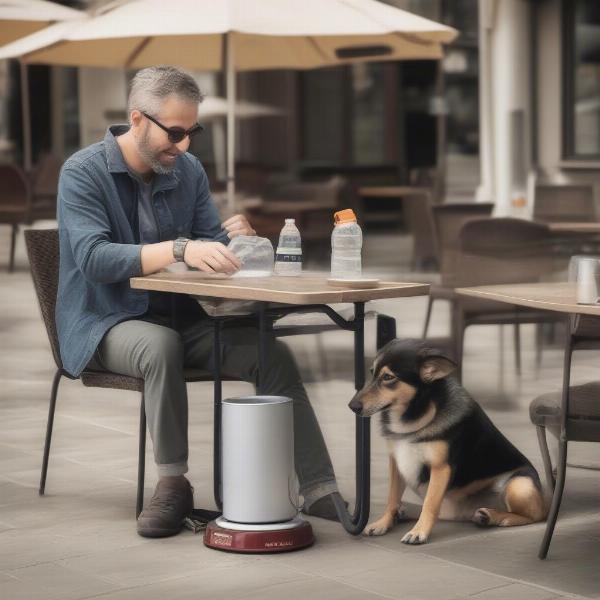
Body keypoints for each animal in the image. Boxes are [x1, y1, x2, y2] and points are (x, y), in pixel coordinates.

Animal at [346, 340, 548, 548]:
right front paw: (383, 523)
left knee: (535, 516)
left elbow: (430, 504)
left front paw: (418, 532)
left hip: (519, 485)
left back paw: (496, 517)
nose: (352, 406)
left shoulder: (440, 468)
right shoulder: (396, 464)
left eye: (388, 377)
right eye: (372, 373)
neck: (415, 416)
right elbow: (392, 499)